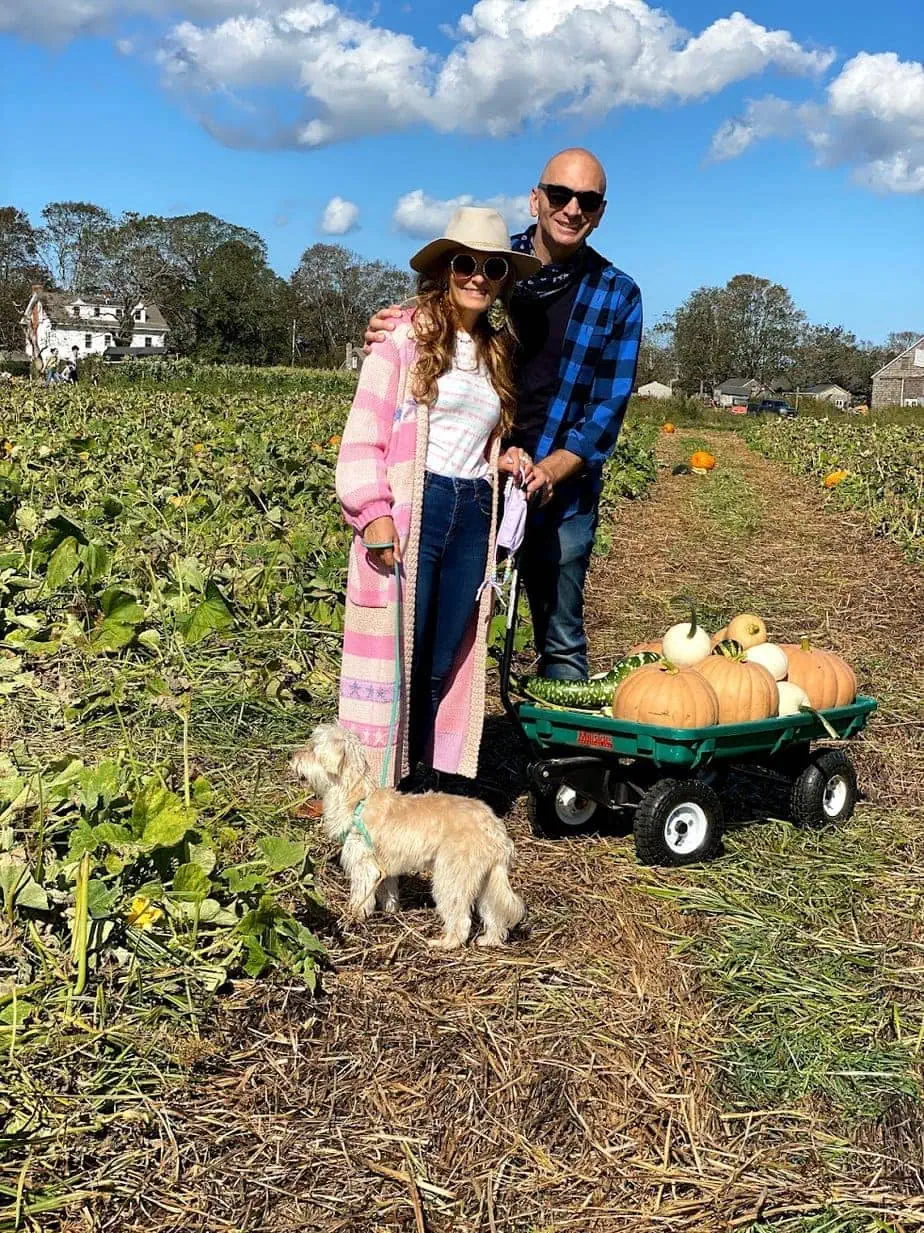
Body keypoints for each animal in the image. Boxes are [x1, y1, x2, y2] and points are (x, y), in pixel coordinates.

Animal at [292, 725, 530, 946]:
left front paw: (354, 915)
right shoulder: (384, 869)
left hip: (451, 879)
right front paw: (391, 910)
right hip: (486, 882)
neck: (358, 799)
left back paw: (445, 943)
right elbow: (388, 892)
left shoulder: (364, 865)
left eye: (312, 749)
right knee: (494, 914)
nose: (293, 757)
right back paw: (489, 940)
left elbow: (360, 895)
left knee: (461, 920)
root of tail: (497, 832)